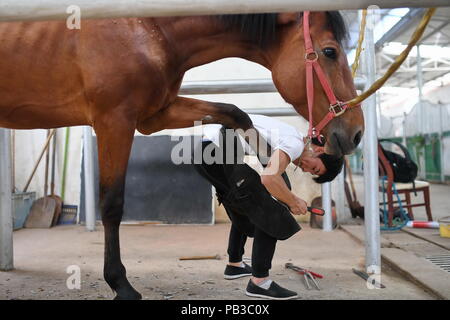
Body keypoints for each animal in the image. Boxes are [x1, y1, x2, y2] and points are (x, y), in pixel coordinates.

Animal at [0, 11, 364, 298]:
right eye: (330, 51)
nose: (357, 132)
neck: (145, 29)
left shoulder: (154, 116)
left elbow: (235, 112)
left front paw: (268, 158)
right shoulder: (114, 120)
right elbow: (112, 204)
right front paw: (120, 284)